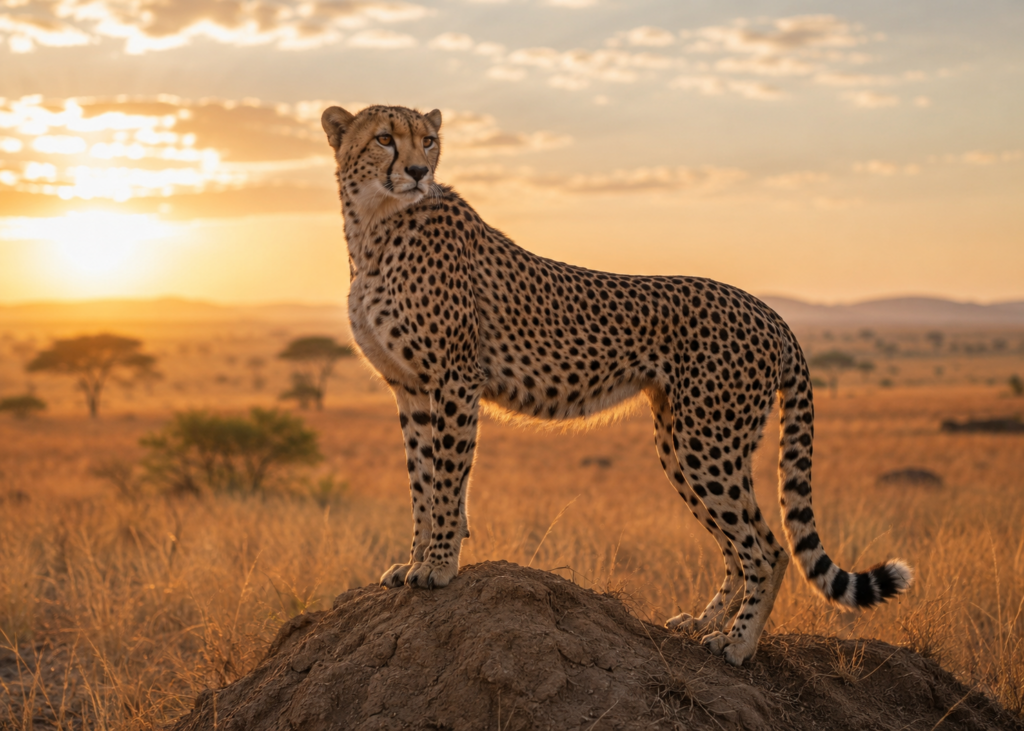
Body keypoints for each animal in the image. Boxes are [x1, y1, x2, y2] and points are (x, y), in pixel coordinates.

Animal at [321, 103, 913, 666]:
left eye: (428, 140)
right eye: (384, 138)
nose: (418, 171)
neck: (374, 226)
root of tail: (767, 311)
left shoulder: (455, 379)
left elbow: (445, 482)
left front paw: (439, 566)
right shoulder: (410, 389)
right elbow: (421, 484)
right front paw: (414, 561)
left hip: (707, 443)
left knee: (768, 549)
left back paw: (738, 645)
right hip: (682, 443)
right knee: (737, 548)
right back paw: (702, 624)